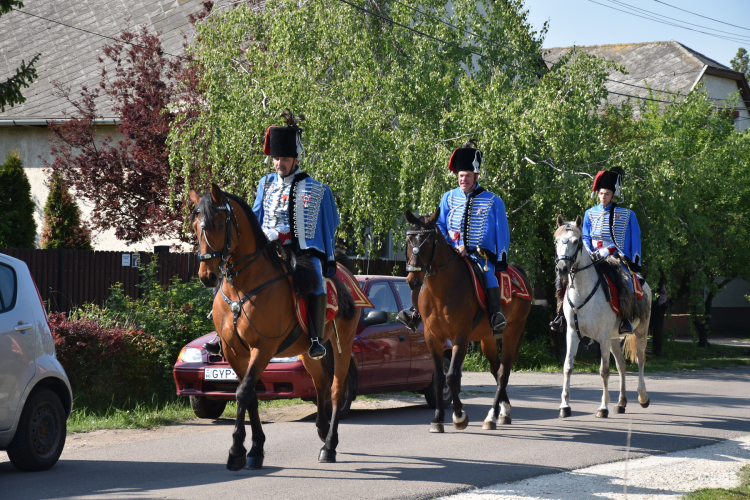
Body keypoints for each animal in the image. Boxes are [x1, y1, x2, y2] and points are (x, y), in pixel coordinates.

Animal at [189, 184, 362, 468]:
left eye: (219, 224)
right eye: (195, 226)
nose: (207, 276)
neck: (242, 288)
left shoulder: (263, 347)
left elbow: (243, 392)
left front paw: (237, 450)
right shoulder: (234, 351)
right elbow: (250, 395)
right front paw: (256, 449)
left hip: (342, 344)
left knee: (336, 389)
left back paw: (329, 446)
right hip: (307, 351)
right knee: (320, 382)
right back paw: (322, 429)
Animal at [406, 209, 536, 432]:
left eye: (429, 241)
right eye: (408, 239)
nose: (413, 280)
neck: (441, 291)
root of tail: (519, 272)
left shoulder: (461, 336)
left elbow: (452, 376)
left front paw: (459, 416)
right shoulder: (432, 337)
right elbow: (439, 378)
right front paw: (438, 419)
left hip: (512, 332)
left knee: (503, 372)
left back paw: (492, 416)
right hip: (488, 338)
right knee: (496, 370)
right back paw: (504, 410)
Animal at [552, 215, 652, 418]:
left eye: (576, 241)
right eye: (556, 241)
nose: (562, 268)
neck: (582, 291)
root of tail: (643, 283)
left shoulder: (603, 337)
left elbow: (604, 371)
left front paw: (603, 407)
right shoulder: (572, 333)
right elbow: (567, 367)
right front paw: (565, 405)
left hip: (640, 331)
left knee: (640, 360)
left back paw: (642, 397)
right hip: (614, 338)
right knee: (622, 365)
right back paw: (621, 403)